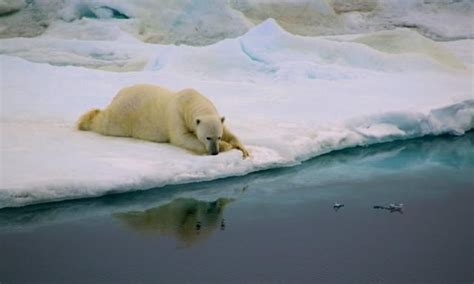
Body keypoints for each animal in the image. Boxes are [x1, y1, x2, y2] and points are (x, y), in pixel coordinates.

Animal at [76, 84, 250, 158]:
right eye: (208, 138)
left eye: (217, 136)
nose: (214, 152)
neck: (190, 101)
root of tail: (119, 94)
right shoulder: (176, 116)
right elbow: (182, 138)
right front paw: (227, 146)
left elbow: (229, 131)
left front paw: (243, 149)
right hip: (123, 116)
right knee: (104, 122)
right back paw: (84, 121)